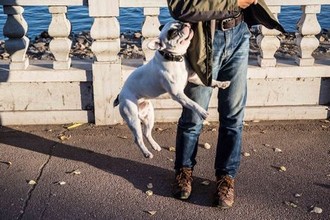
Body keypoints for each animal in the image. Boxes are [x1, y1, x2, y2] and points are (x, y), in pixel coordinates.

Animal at [113, 20, 229, 158]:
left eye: (178, 23)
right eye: (172, 33)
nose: (185, 24)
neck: (174, 58)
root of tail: (120, 95)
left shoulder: (193, 78)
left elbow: (210, 82)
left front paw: (221, 83)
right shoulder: (177, 94)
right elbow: (192, 103)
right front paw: (202, 112)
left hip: (149, 115)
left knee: (147, 133)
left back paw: (155, 146)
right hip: (132, 118)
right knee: (138, 139)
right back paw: (146, 153)